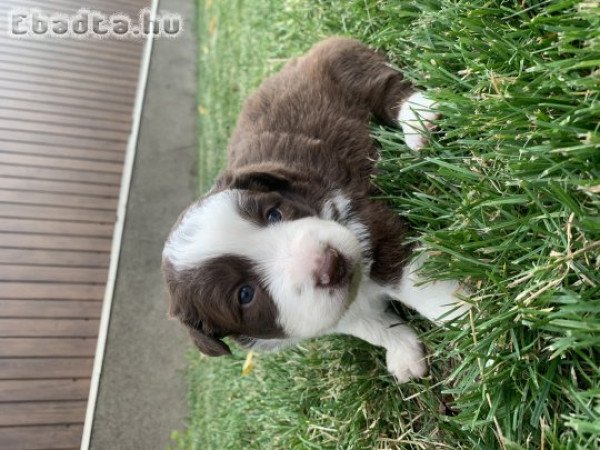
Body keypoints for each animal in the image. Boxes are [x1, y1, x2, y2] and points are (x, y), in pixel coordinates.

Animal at [162, 37, 466, 380]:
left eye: (274, 214)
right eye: (245, 295)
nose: (329, 264)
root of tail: (288, 65)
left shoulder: (371, 225)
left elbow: (416, 284)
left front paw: (461, 311)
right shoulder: (331, 316)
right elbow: (371, 327)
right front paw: (402, 352)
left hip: (343, 63)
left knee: (386, 87)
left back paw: (419, 119)